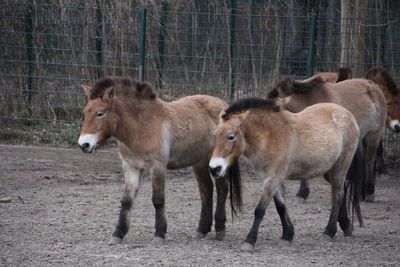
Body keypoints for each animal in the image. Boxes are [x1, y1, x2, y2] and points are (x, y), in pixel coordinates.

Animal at [78, 76, 241, 246]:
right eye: (85, 113)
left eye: (100, 113)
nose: (84, 144)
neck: (140, 125)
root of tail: (222, 104)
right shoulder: (130, 167)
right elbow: (127, 201)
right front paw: (118, 233)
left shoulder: (157, 167)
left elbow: (158, 200)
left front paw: (159, 234)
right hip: (200, 162)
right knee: (206, 190)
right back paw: (202, 229)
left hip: (217, 162)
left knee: (222, 189)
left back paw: (220, 229)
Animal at [209, 98, 362, 251]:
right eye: (215, 135)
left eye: (231, 137)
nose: (214, 169)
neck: (269, 136)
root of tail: (347, 113)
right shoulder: (271, 179)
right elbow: (281, 207)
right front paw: (287, 235)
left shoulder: (272, 178)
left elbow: (260, 210)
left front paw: (249, 240)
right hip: (328, 171)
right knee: (343, 190)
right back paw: (347, 226)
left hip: (339, 168)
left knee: (337, 196)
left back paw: (329, 232)